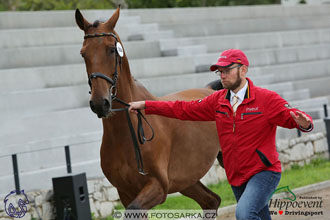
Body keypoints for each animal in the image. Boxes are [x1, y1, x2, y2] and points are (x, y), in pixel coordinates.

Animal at [75, 6, 224, 218]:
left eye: (111, 49)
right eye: (83, 54)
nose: (99, 103)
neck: (126, 131)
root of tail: (212, 90)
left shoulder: (158, 186)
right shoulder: (126, 192)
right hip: (186, 181)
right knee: (211, 200)